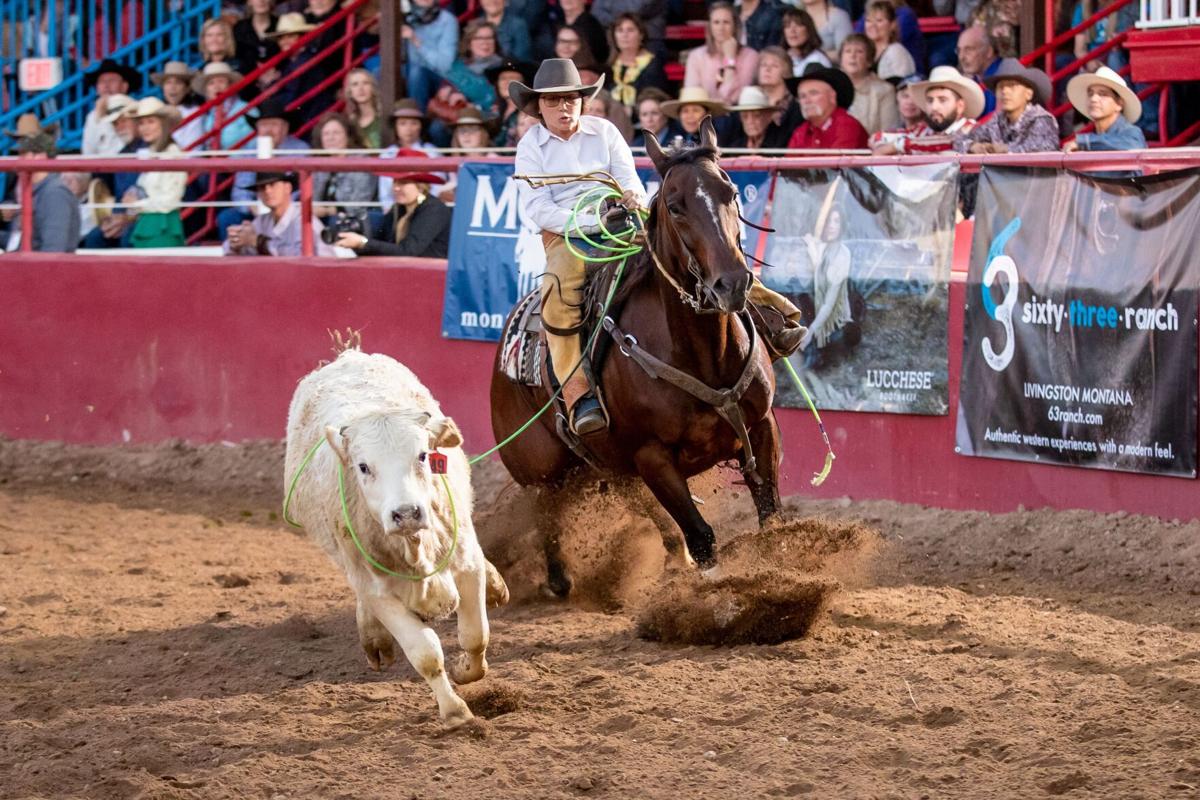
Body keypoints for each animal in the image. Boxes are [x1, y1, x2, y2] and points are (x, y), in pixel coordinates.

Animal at [489, 117, 782, 594]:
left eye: (732, 192)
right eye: (676, 207)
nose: (733, 283)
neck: (703, 356)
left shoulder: (761, 426)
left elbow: (771, 517)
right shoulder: (652, 457)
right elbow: (702, 536)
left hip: (611, 466)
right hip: (542, 471)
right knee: (546, 515)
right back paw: (558, 580)